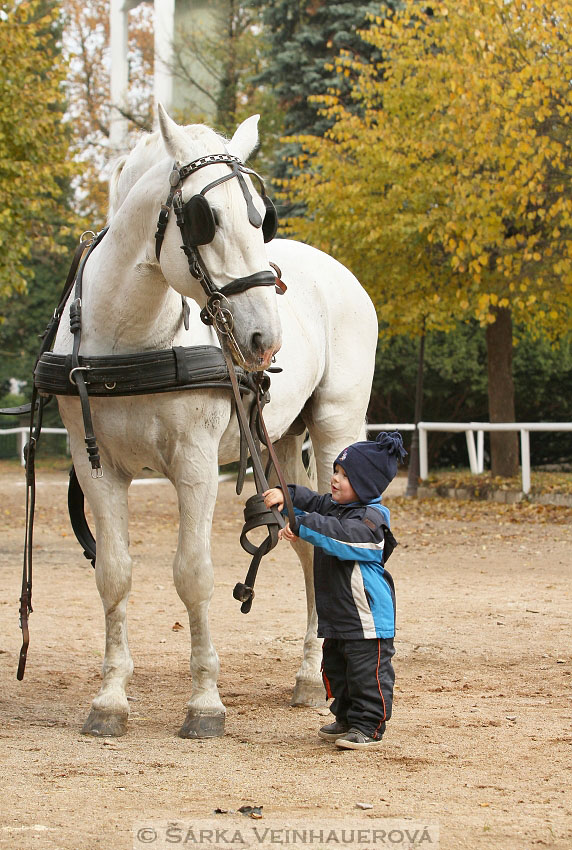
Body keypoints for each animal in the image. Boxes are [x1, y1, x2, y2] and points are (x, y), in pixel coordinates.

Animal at [51, 107, 378, 736]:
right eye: (207, 219)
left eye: (261, 219)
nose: (265, 337)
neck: (132, 337)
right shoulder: (96, 465)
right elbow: (114, 573)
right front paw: (110, 699)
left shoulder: (196, 465)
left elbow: (192, 574)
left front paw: (204, 702)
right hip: (282, 441)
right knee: (307, 544)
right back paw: (310, 675)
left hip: (336, 431)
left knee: (336, 542)